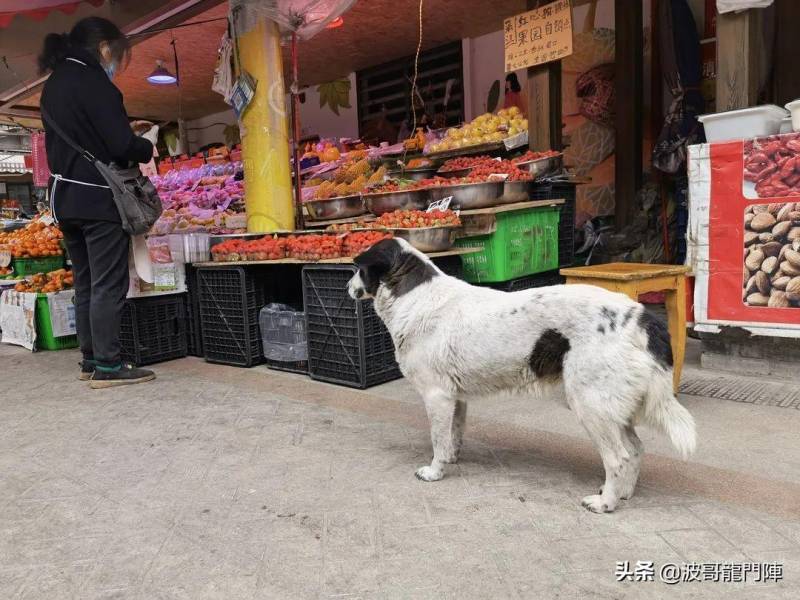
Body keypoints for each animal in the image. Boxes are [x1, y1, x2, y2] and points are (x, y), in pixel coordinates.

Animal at [346, 238, 696, 510]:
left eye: (357, 267)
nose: (347, 287)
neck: (413, 296)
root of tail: (641, 316)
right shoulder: (455, 398)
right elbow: (452, 436)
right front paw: (451, 460)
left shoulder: (436, 396)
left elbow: (437, 439)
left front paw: (435, 471)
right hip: (611, 407)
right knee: (636, 449)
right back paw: (623, 494)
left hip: (590, 406)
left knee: (619, 457)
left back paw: (605, 503)